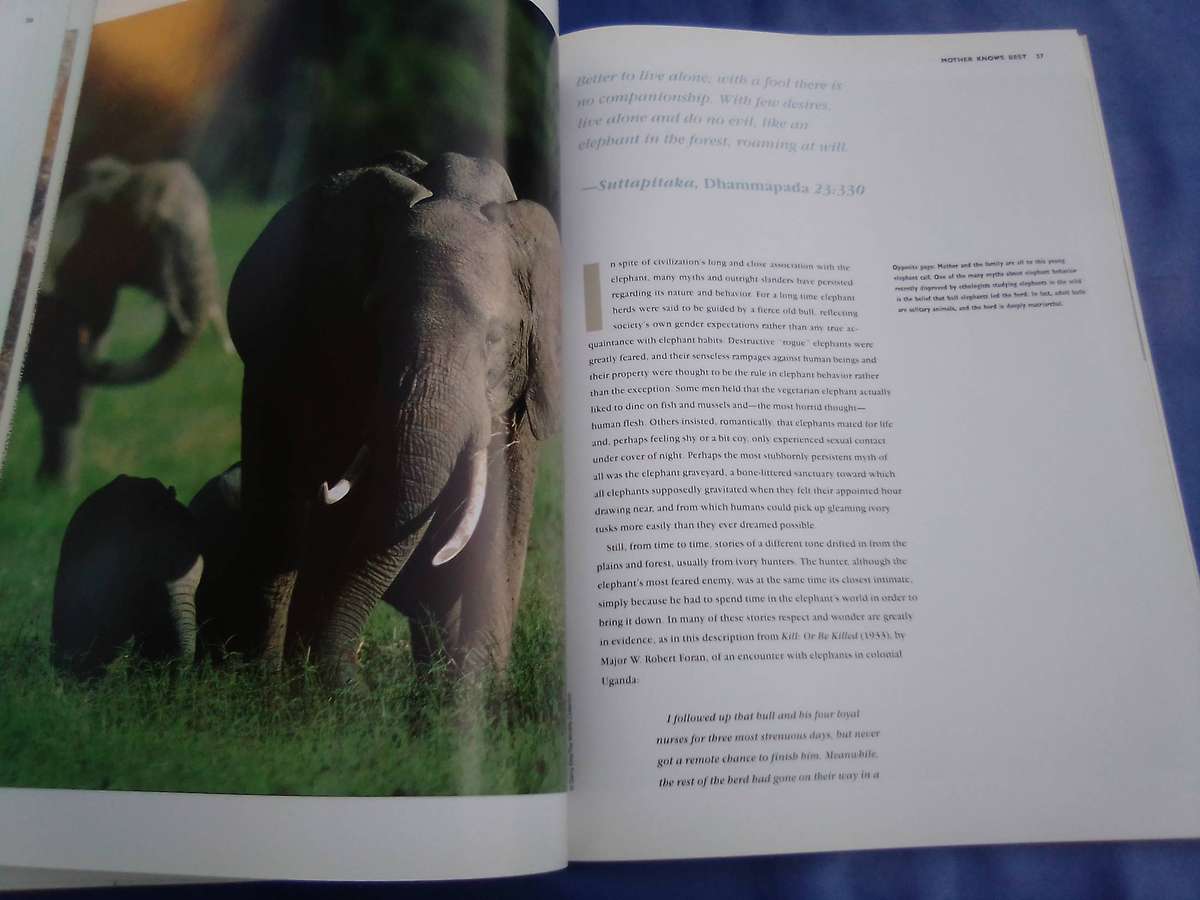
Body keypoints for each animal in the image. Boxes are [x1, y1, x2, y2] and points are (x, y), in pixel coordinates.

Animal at [227, 151, 560, 683]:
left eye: (494, 337)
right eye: (375, 321)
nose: (348, 673)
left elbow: (505, 512)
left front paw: (477, 688)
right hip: (266, 374)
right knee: (278, 516)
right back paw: (260, 677)